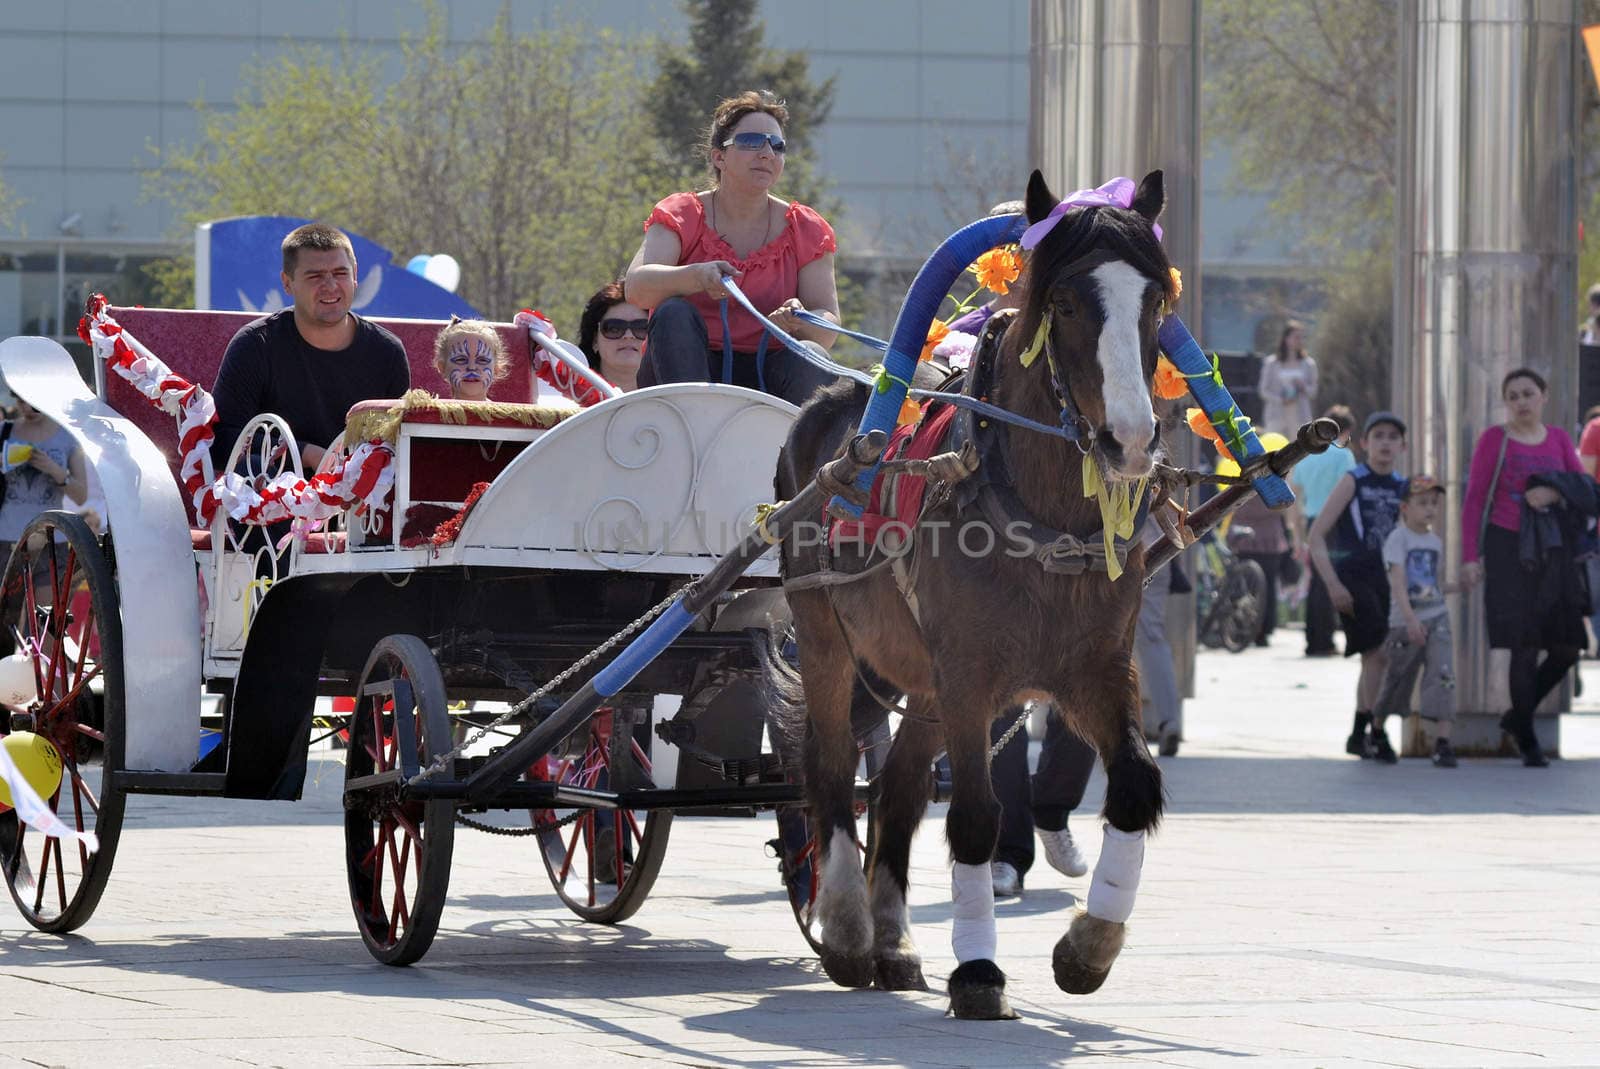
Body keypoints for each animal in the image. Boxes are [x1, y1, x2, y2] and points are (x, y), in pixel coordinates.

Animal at [768, 167, 1171, 1017]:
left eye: (1155, 298)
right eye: (1064, 302)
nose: (1129, 440)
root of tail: (829, 403)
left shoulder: (1094, 668)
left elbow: (1133, 788)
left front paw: (1090, 944)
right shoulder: (969, 676)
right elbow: (978, 818)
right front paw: (980, 968)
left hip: (915, 673)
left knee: (896, 787)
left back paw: (893, 940)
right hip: (825, 634)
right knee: (830, 767)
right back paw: (848, 928)